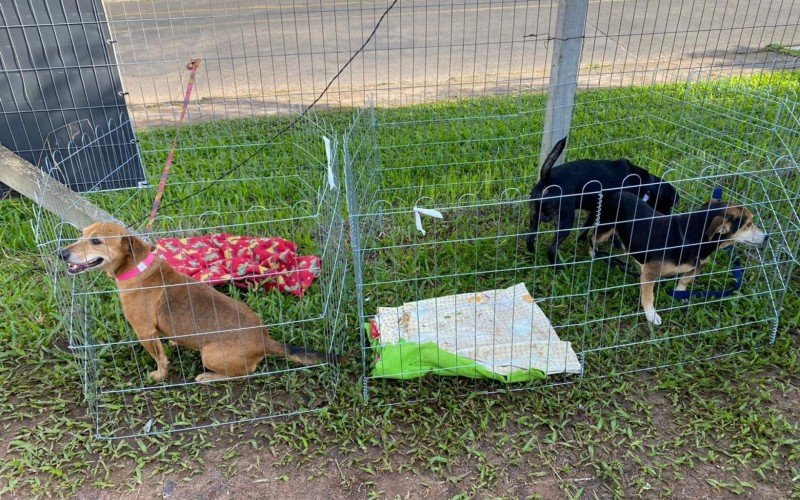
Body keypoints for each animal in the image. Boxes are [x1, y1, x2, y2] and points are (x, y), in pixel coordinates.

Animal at [57, 223, 330, 382]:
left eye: (96, 241)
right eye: (81, 235)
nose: (61, 253)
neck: (138, 268)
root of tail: (264, 340)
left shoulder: (144, 332)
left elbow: (160, 358)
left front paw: (159, 375)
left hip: (210, 354)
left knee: (242, 373)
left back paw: (207, 377)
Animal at [528, 137, 680, 268]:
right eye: (668, 205)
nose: (668, 216)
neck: (647, 186)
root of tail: (547, 180)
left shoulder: (595, 212)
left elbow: (586, 228)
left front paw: (582, 241)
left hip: (535, 217)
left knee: (530, 239)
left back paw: (532, 255)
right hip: (565, 221)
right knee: (551, 249)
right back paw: (559, 267)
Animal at [592, 190, 768, 324]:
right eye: (748, 224)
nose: (767, 236)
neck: (689, 238)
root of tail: (617, 192)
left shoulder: (699, 265)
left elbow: (685, 280)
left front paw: (679, 293)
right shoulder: (650, 272)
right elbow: (648, 296)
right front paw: (651, 314)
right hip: (604, 229)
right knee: (592, 237)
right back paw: (594, 253)